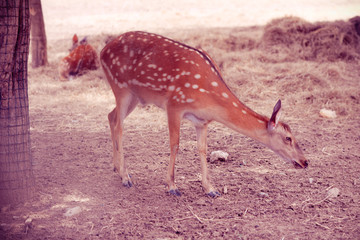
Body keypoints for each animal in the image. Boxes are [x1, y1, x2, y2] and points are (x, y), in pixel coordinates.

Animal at [100, 31, 308, 197]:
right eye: (288, 138)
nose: (305, 161)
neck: (209, 99)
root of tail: (102, 51)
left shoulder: (202, 121)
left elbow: (203, 149)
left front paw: (210, 189)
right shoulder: (174, 104)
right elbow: (175, 144)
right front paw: (172, 186)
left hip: (135, 96)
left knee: (111, 116)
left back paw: (116, 168)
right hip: (121, 87)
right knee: (119, 126)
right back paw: (125, 177)